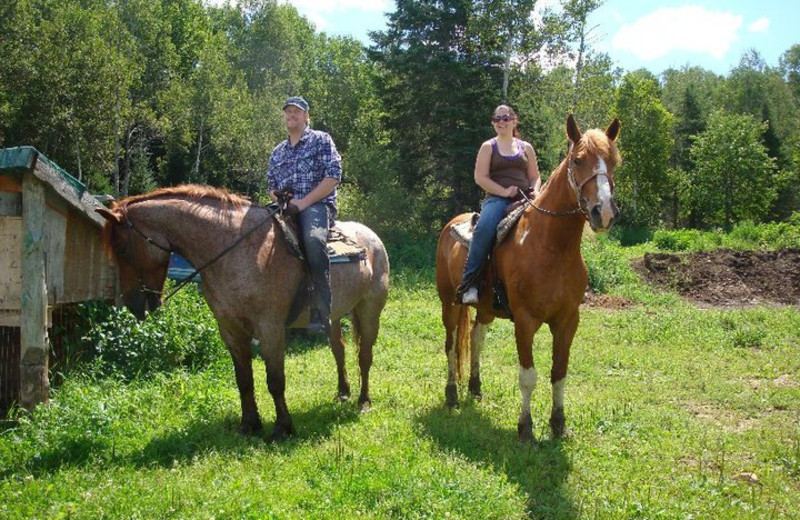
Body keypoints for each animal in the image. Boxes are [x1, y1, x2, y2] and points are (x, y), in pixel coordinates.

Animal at [97, 185, 390, 440]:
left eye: (121, 248)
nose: (133, 304)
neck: (236, 250)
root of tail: (371, 237)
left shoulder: (270, 328)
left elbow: (275, 380)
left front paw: (283, 428)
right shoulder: (230, 329)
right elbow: (243, 379)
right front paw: (249, 424)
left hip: (369, 311)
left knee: (364, 356)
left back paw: (364, 401)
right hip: (334, 316)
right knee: (339, 350)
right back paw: (343, 392)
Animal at [438, 116, 620, 440]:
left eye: (613, 161)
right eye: (578, 160)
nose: (605, 212)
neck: (552, 246)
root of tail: (451, 225)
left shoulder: (568, 320)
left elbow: (559, 373)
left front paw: (558, 425)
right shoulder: (525, 320)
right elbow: (528, 376)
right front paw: (526, 429)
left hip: (485, 308)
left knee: (476, 338)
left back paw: (475, 389)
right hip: (450, 303)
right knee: (451, 344)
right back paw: (452, 396)